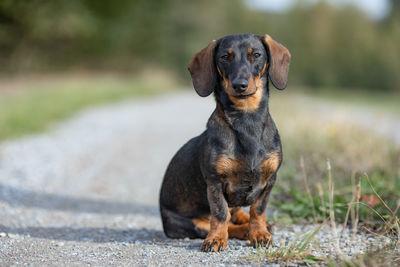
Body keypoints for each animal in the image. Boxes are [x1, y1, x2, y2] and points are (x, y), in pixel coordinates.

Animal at [159, 33, 290, 253]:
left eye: (256, 55)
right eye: (224, 57)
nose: (240, 85)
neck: (247, 121)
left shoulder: (270, 179)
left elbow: (258, 210)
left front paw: (260, 233)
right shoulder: (215, 181)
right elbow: (220, 214)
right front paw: (216, 239)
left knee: (237, 213)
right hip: (188, 223)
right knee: (226, 221)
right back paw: (241, 230)